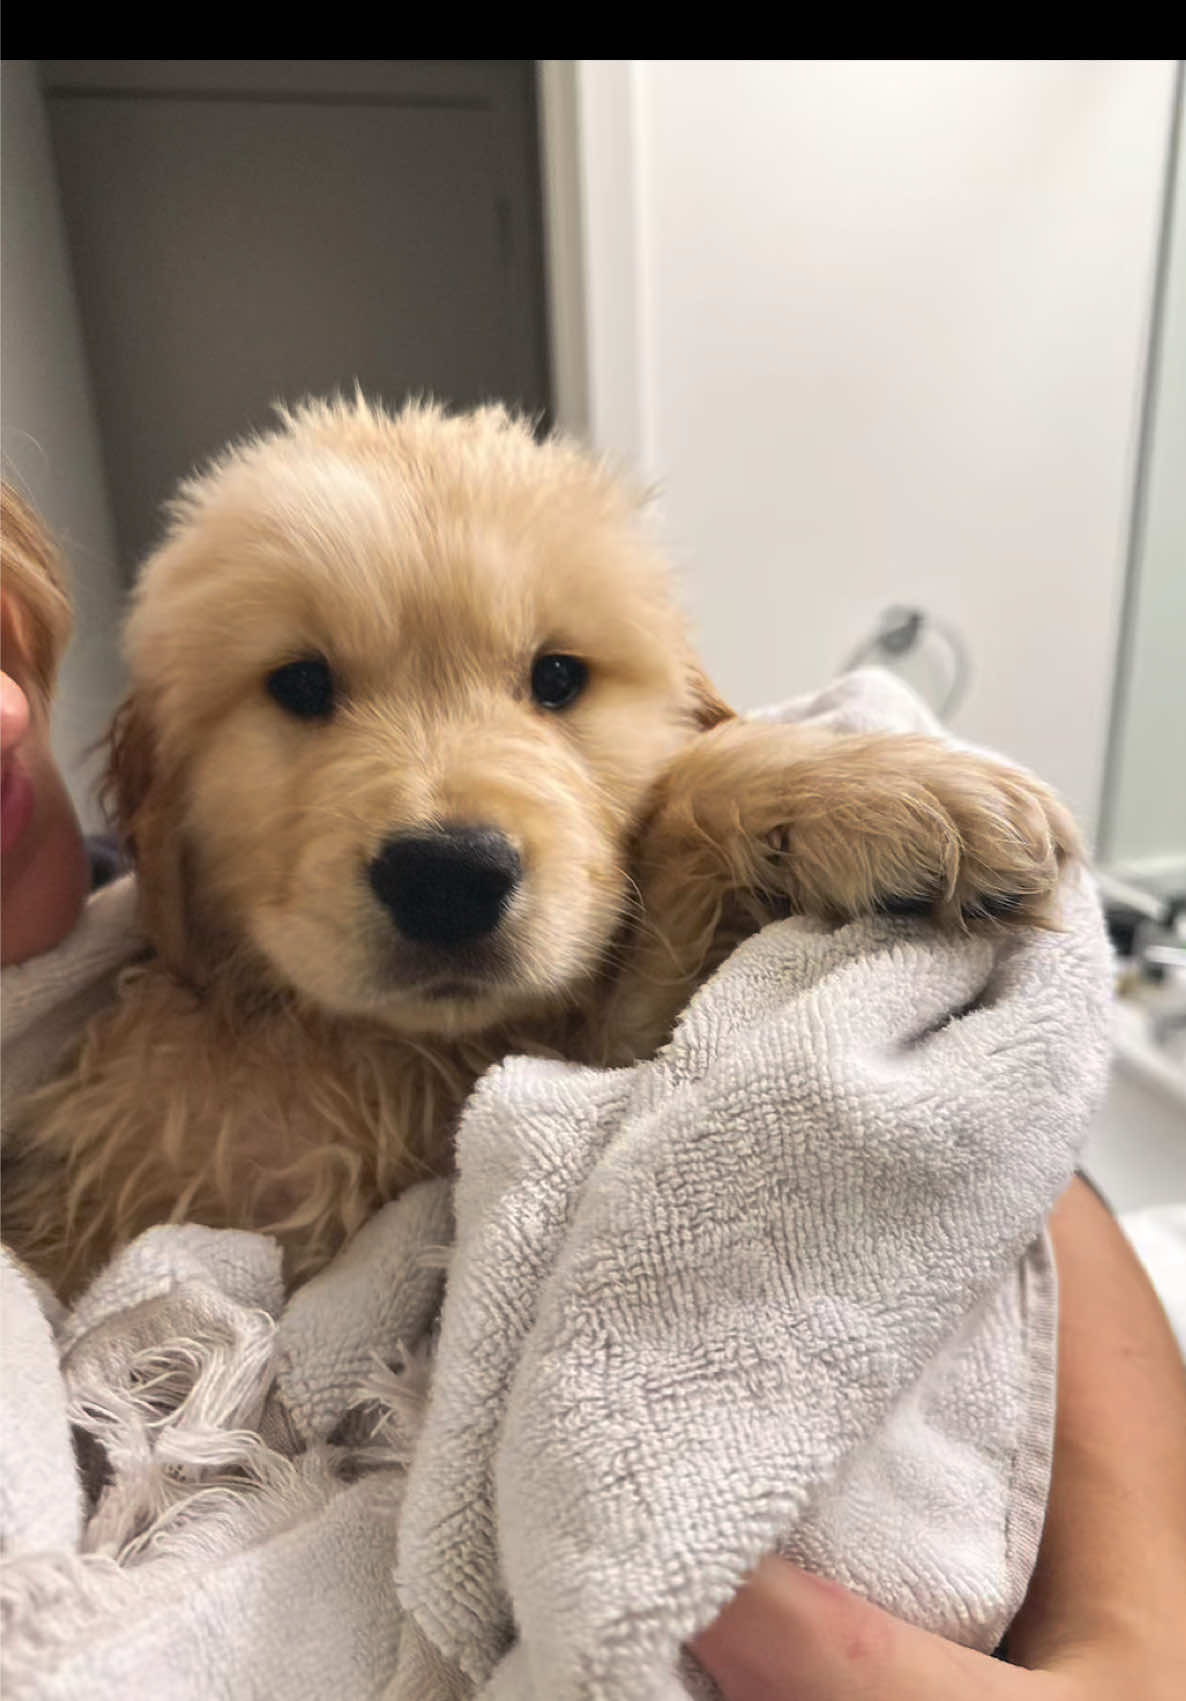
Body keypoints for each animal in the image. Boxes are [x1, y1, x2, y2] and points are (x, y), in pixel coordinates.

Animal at [0, 398, 1075, 1292]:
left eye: (557, 677)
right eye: (300, 685)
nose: (445, 877)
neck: (381, 1051)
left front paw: (883, 792)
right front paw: (900, 792)